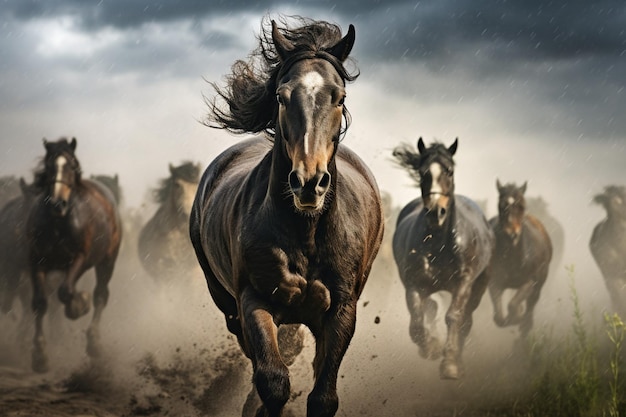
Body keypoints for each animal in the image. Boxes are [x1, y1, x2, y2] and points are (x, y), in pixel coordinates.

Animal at [26, 138, 122, 372]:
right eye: (49, 166)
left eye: (71, 166)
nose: (57, 203)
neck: (58, 223)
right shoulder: (36, 262)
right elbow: (40, 302)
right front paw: (40, 355)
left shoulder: (80, 258)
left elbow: (66, 291)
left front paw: (79, 305)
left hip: (107, 261)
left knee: (100, 295)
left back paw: (94, 342)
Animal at [189, 17, 386, 416]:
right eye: (281, 96)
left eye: (339, 97)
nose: (308, 182)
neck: (306, 233)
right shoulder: (253, 301)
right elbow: (272, 380)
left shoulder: (342, 309)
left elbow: (323, 395)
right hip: (226, 302)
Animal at [390, 137, 492, 380]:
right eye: (422, 172)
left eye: (450, 171)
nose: (436, 212)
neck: (440, 244)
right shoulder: (414, 285)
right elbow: (417, 322)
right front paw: (431, 347)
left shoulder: (464, 284)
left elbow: (454, 317)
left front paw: (450, 364)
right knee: (431, 308)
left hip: (480, 286)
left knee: (466, 319)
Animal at [488, 179, 552, 338]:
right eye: (501, 206)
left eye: (522, 205)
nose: (512, 234)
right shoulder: (495, 283)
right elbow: (499, 318)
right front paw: (516, 317)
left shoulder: (529, 282)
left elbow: (512, 306)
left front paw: (519, 318)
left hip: (539, 285)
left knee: (531, 304)